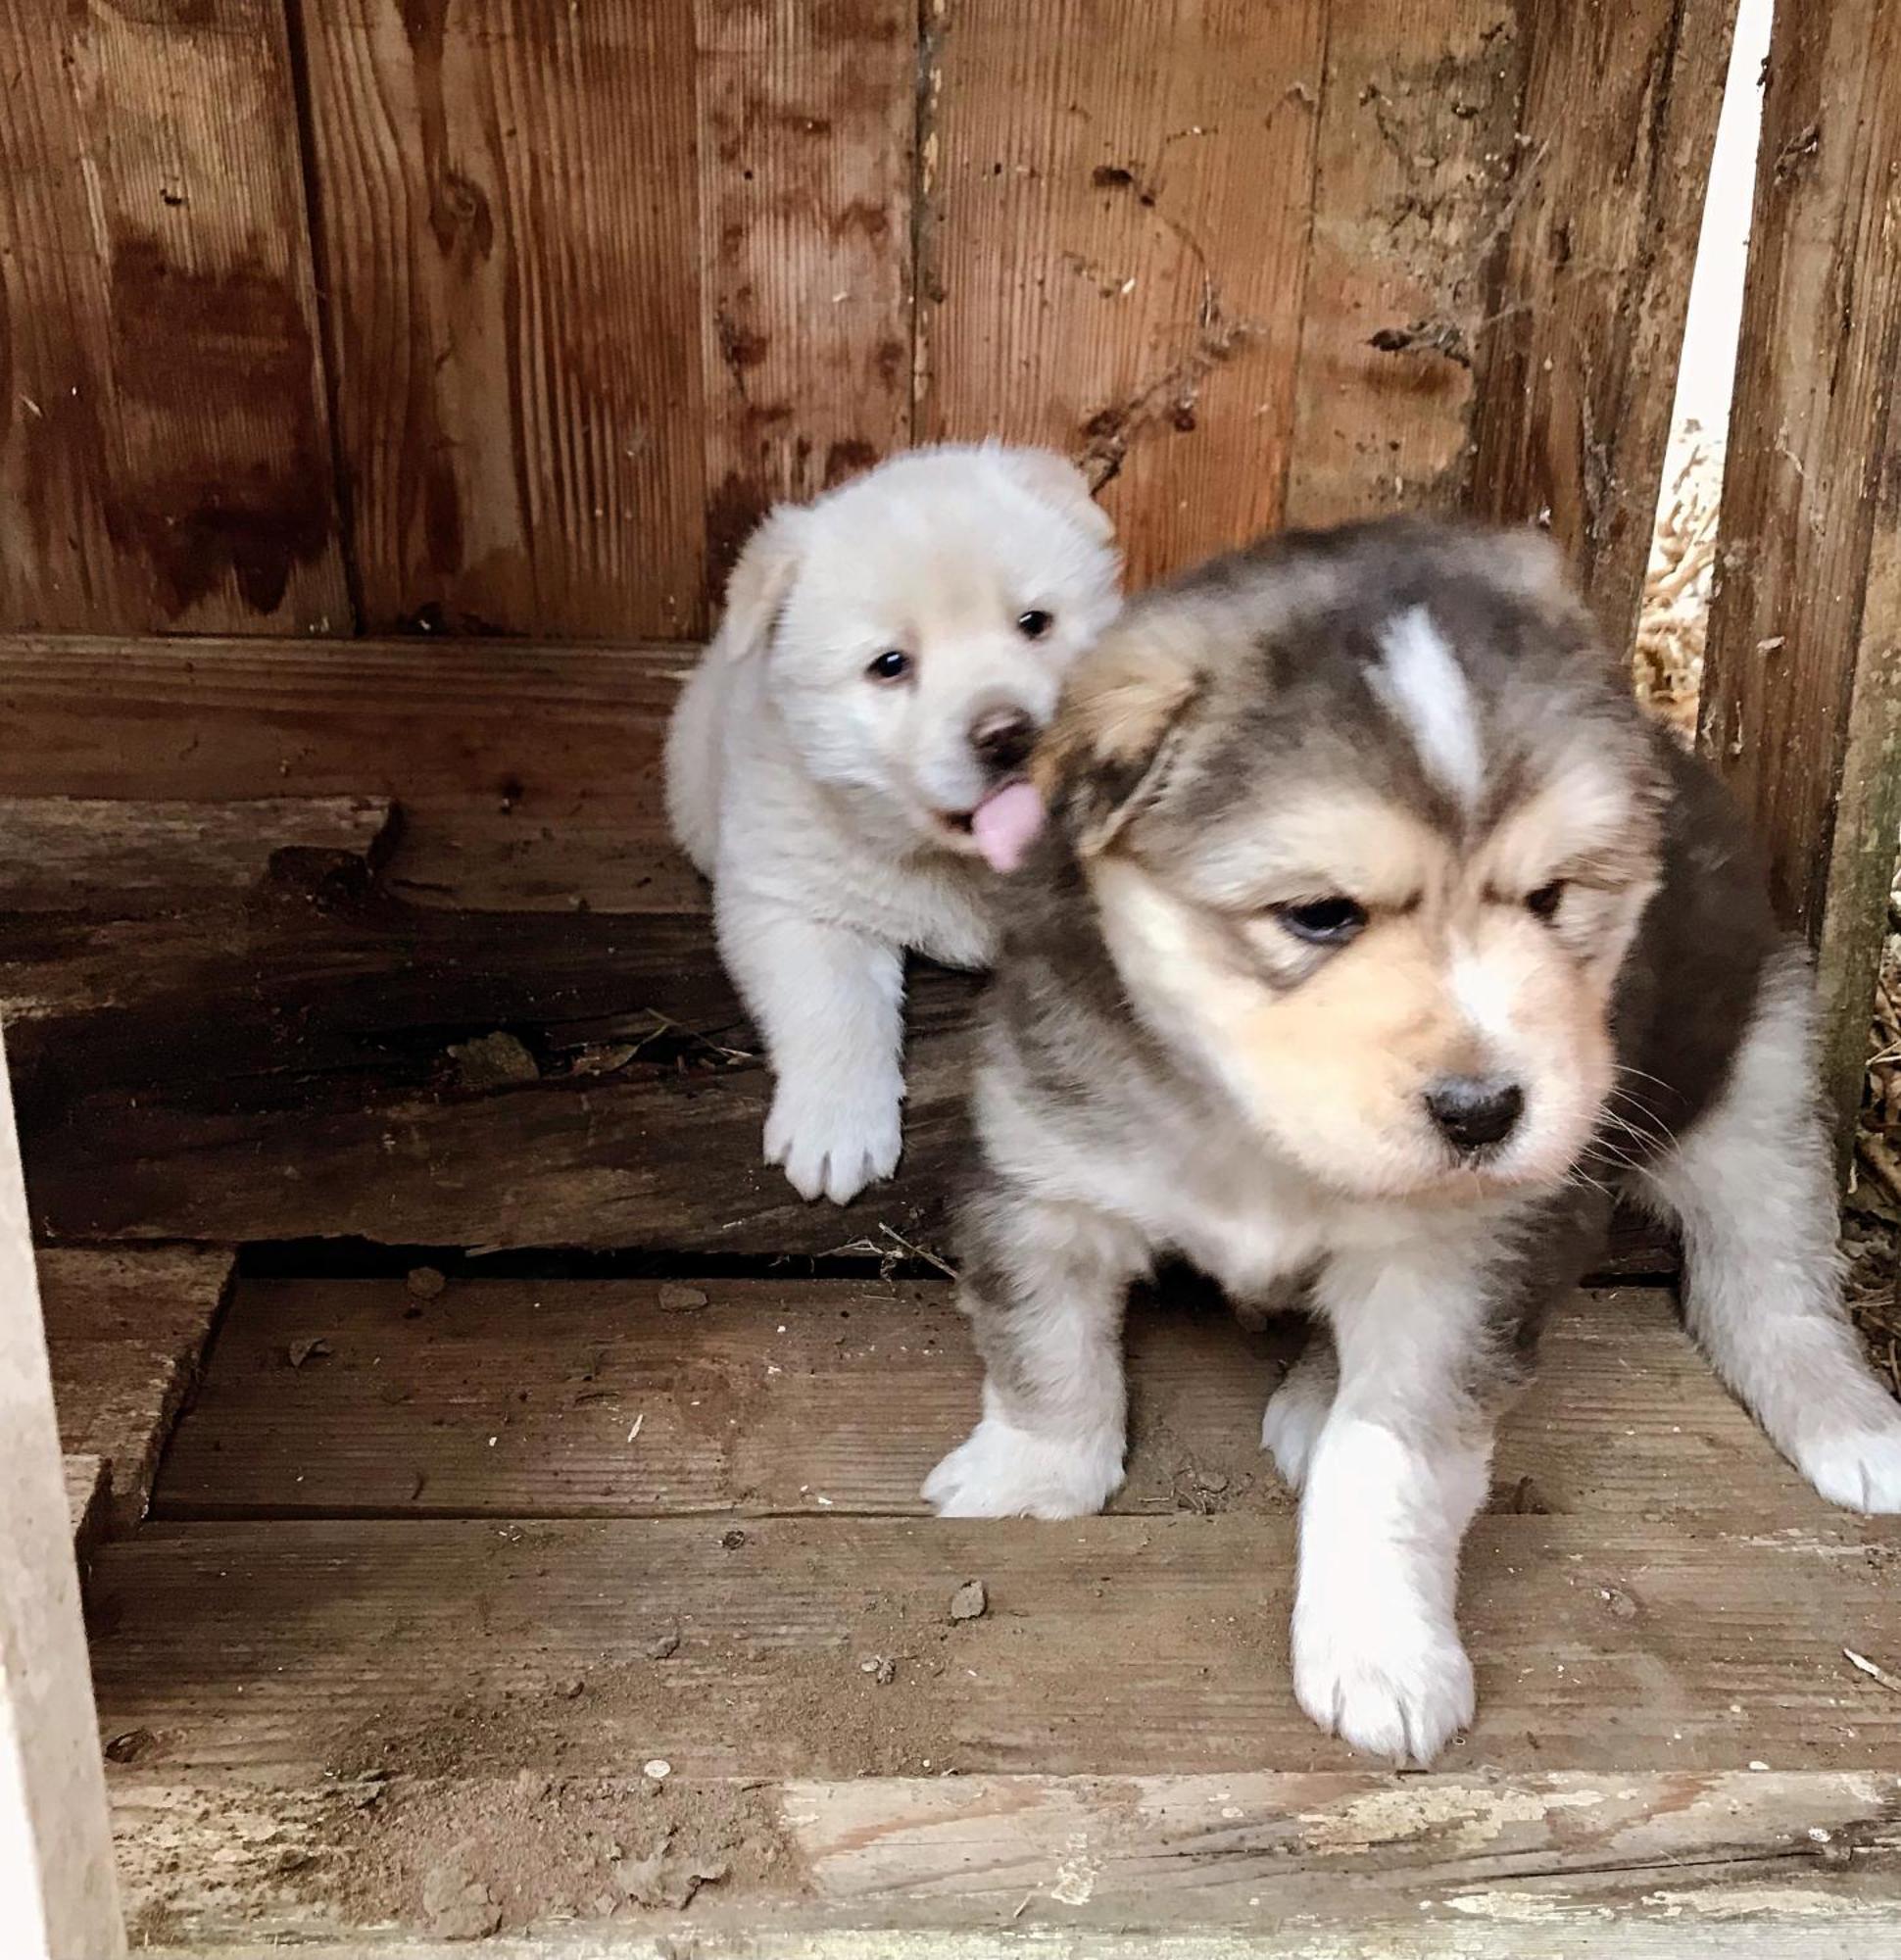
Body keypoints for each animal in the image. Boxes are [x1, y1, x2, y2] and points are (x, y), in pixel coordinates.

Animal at [662, 445, 1113, 1200]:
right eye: (890, 666)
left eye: (1034, 623)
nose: (1007, 734)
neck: (959, 861)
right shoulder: (795, 896)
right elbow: (833, 1005)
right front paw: (834, 1132)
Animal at [921, 517, 1897, 1764]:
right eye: (1318, 915)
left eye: (1549, 897)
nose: (1484, 1113)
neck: (1255, 1132)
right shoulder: (1045, 1173)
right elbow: (1041, 1340)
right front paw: (1032, 1472)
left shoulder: (1462, 1264)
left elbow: (1385, 1458)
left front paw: (1381, 1652)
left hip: (1757, 1073)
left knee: (1767, 1284)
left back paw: (1847, 1422)